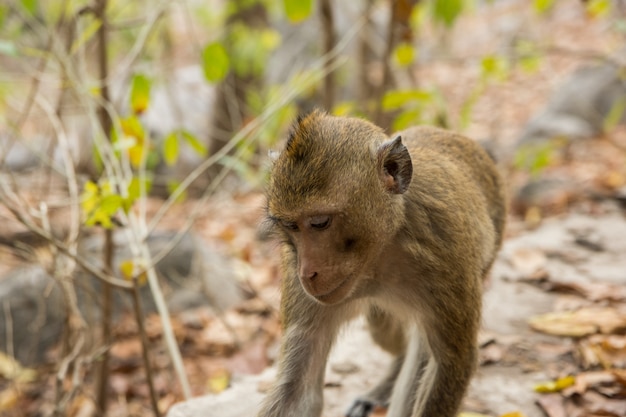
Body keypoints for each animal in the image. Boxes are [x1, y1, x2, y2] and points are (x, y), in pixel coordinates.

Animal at [258, 109, 508, 416]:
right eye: (291, 226)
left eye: (319, 223)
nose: (307, 273)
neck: (379, 251)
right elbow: (297, 388)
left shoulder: (447, 250)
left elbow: (450, 361)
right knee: (382, 329)